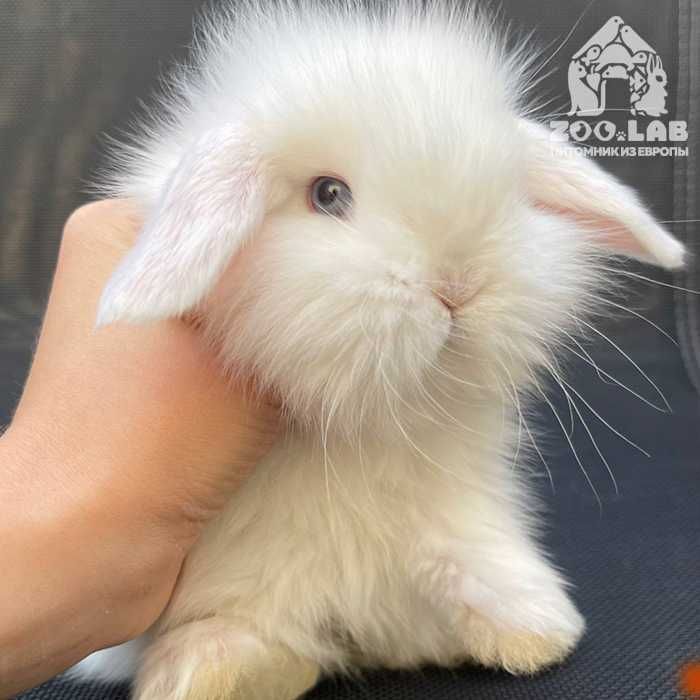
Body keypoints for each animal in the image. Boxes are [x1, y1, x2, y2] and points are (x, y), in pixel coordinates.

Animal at [72, 2, 685, 699]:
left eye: (507, 191)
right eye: (328, 194)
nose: (457, 286)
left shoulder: (454, 504)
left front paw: (541, 633)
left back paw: (529, 631)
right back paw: (218, 670)